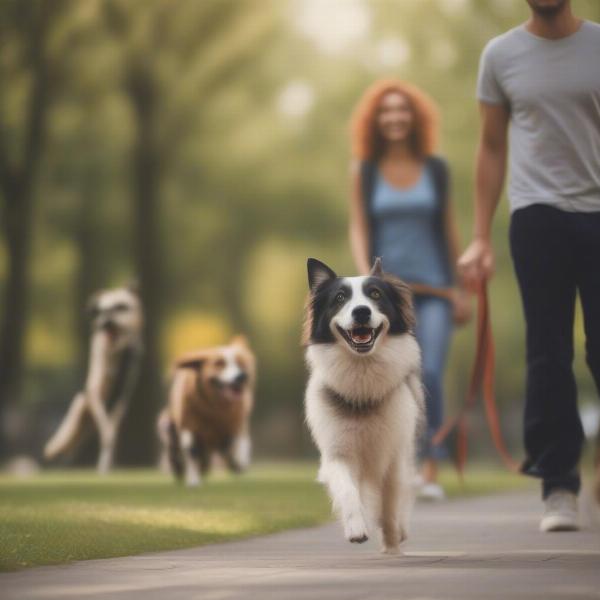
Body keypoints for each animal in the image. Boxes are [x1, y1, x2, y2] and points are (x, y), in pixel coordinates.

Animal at [157, 336, 255, 486]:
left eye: (240, 363)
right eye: (219, 363)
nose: (242, 376)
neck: (213, 408)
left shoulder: (237, 424)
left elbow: (237, 444)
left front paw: (238, 460)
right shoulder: (189, 427)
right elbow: (192, 452)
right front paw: (193, 481)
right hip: (167, 427)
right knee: (179, 456)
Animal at [304, 258, 422, 552]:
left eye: (375, 294)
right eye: (340, 298)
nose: (361, 312)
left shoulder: (394, 453)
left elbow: (390, 502)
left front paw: (392, 542)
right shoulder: (337, 450)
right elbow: (347, 490)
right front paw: (356, 530)